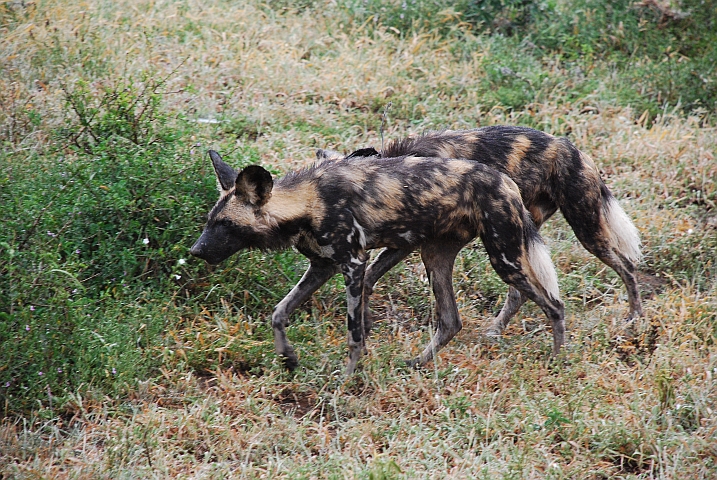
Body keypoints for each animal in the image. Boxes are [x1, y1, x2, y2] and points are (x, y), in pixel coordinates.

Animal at [190, 150, 564, 376]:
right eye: (209, 221)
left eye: (225, 225)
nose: (195, 251)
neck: (307, 202)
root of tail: (507, 182)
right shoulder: (322, 267)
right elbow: (279, 313)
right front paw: (288, 358)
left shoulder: (354, 264)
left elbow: (355, 333)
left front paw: (345, 379)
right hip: (435, 257)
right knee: (450, 321)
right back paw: (416, 364)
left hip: (504, 258)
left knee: (554, 305)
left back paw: (557, 360)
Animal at [316, 125, 640, 340]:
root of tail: (574, 149)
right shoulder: (405, 243)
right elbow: (370, 277)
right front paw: (366, 322)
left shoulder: (409, 242)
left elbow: (369, 276)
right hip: (519, 235)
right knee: (519, 293)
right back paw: (495, 330)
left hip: (586, 230)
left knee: (627, 266)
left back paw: (635, 319)